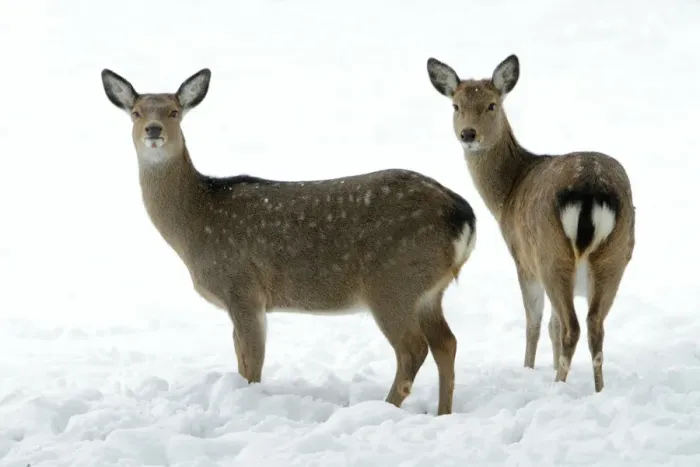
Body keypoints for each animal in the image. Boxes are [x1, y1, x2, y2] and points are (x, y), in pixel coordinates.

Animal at [101, 67, 477, 415]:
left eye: (174, 111)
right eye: (136, 112)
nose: (153, 130)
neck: (196, 225)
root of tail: (464, 215)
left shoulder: (243, 288)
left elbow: (251, 366)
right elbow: (241, 362)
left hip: (393, 281)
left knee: (413, 348)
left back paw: (382, 408)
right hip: (428, 290)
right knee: (447, 343)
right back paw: (443, 413)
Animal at [426, 54, 635, 392]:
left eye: (492, 105)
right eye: (456, 105)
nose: (468, 134)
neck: (507, 195)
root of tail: (591, 189)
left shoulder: (522, 259)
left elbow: (534, 322)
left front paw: (527, 369)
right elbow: (551, 323)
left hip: (550, 252)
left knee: (571, 326)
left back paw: (558, 386)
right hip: (615, 255)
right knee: (594, 325)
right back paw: (598, 390)